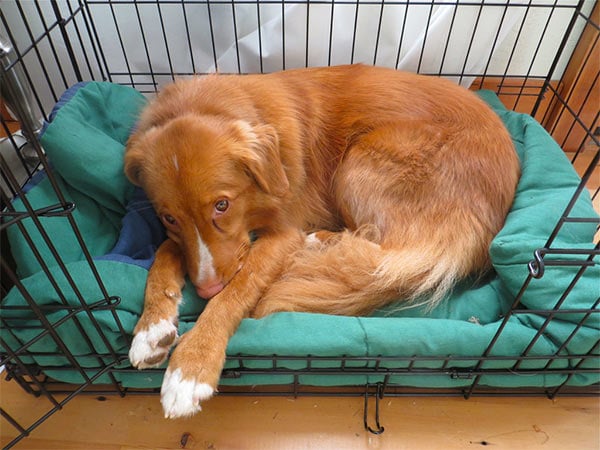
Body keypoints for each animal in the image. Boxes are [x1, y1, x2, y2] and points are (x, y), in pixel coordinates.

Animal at [124, 65, 516, 420]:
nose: (205, 289)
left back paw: (319, 242)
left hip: (358, 165)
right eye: (168, 218)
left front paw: (193, 364)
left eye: (222, 204)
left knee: (378, 249)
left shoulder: (284, 233)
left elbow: (238, 289)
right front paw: (152, 326)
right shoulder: (185, 239)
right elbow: (164, 253)